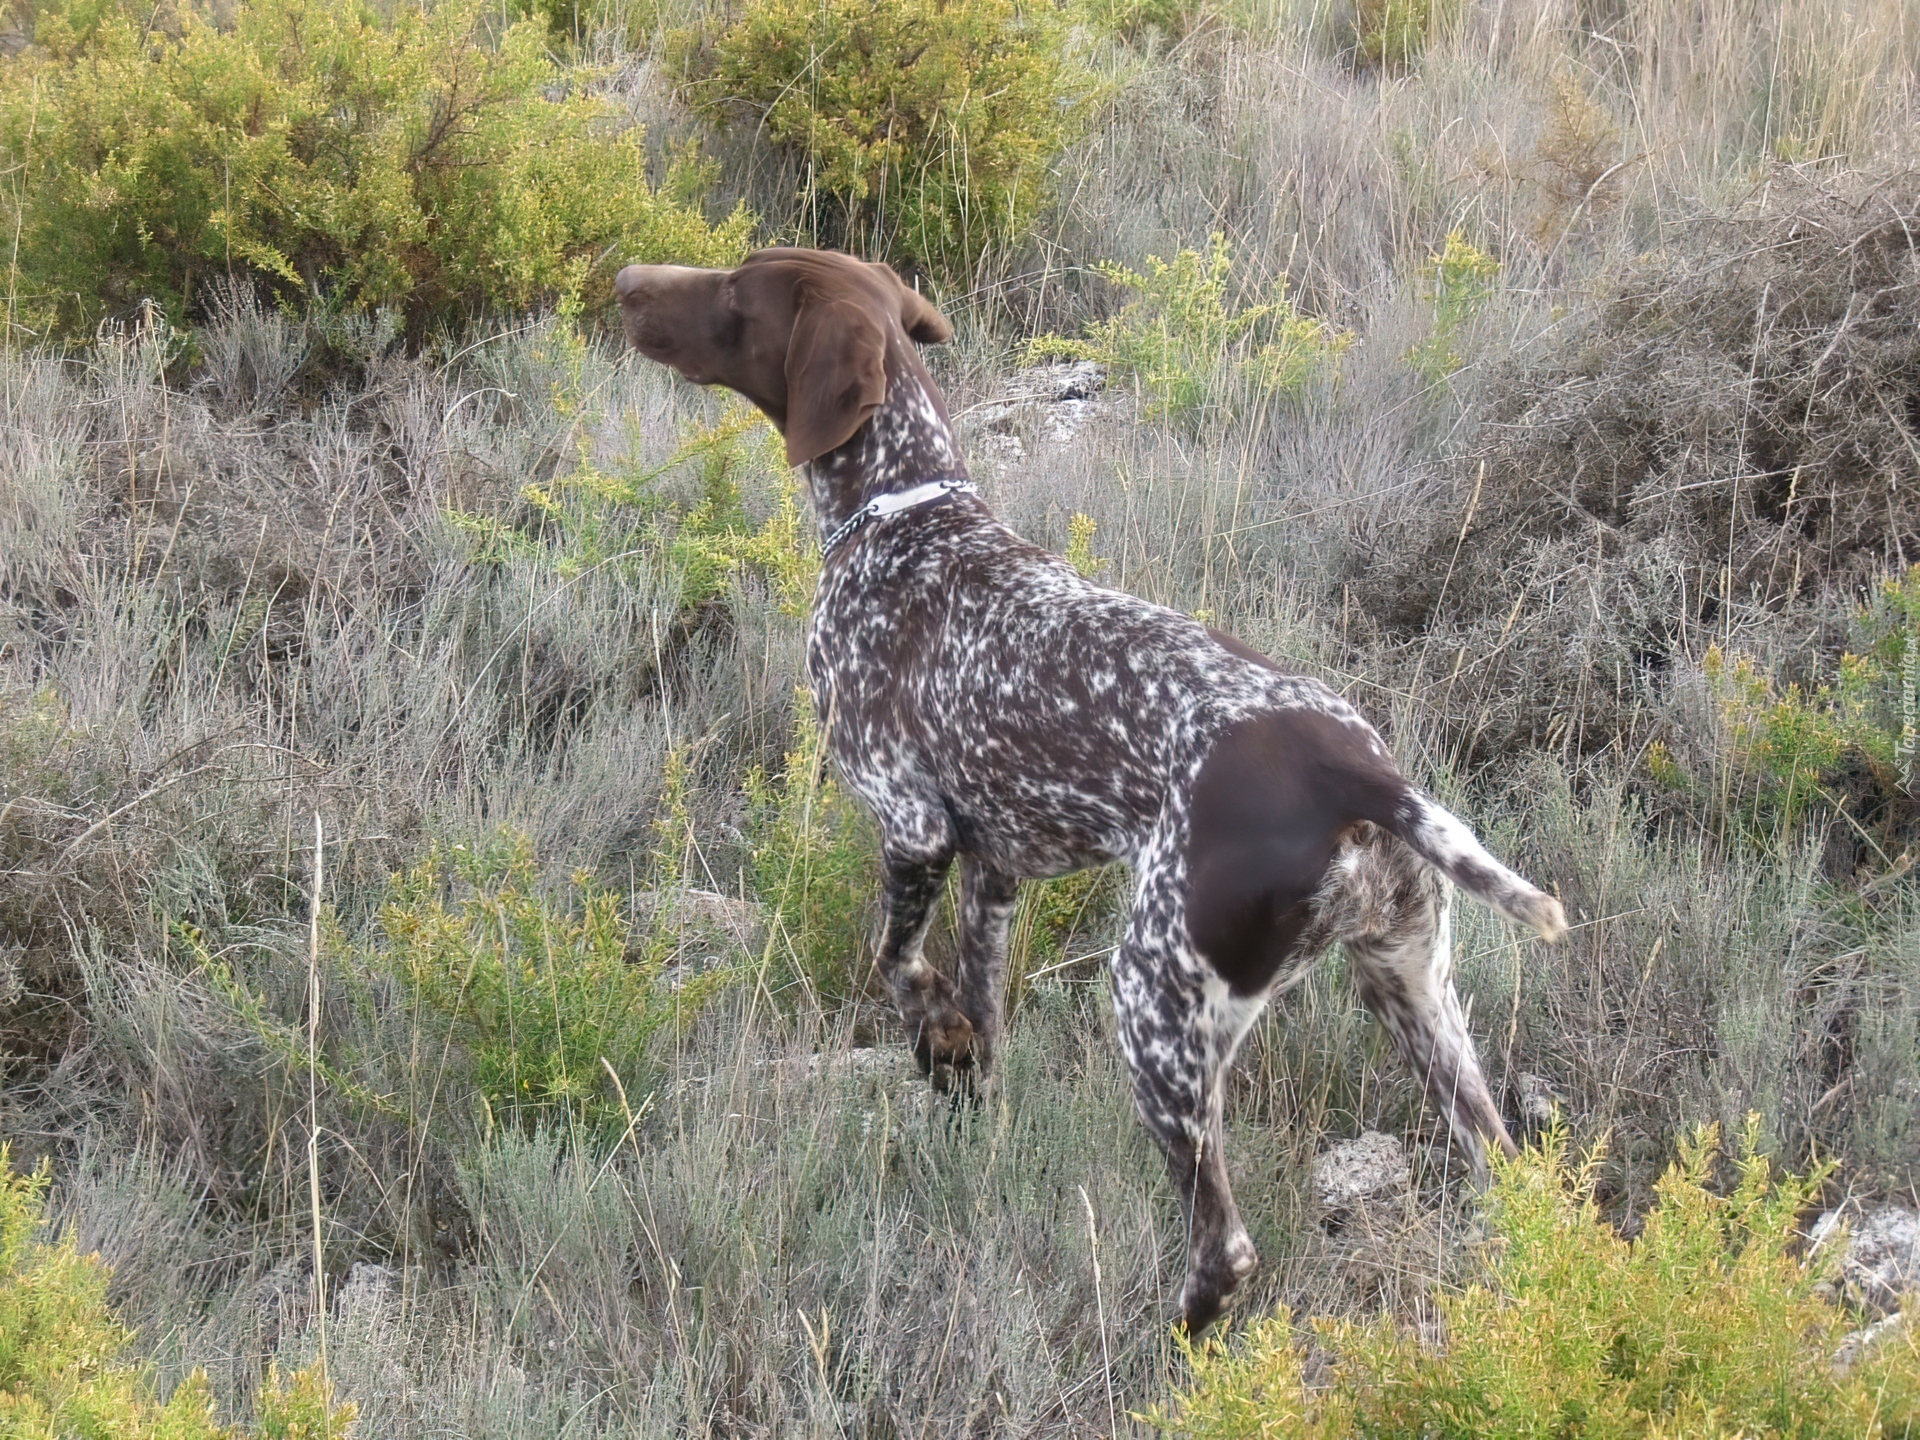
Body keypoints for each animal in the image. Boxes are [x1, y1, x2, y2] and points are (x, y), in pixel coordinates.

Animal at [614, 245, 1559, 1328]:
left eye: (738, 287)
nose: (627, 281)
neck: (904, 514)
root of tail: (1356, 771)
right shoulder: (992, 872)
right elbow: (979, 1013)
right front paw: (960, 1087)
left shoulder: (911, 822)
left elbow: (897, 961)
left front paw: (931, 1026)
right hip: (1411, 987)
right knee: (1497, 1158)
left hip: (1155, 1002)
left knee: (1225, 1245)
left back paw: (1173, 1339)